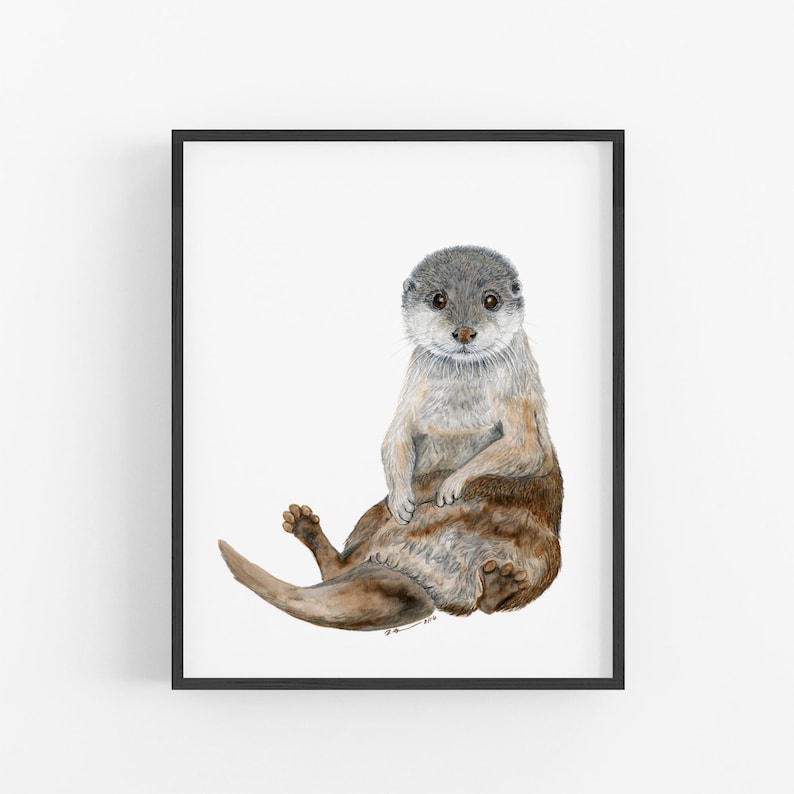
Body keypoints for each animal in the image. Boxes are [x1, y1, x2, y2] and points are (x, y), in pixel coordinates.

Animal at [219, 245, 563, 631]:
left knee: (490, 603)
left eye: (491, 300)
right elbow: (396, 435)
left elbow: (528, 448)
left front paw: (452, 485)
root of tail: (428, 583)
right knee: (339, 567)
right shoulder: (412, 385)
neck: (459, 397)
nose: (463, 331)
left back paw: (498, 584)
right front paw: (402, 499)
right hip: (373, 516)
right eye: (439, 299)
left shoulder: (518, 389)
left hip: (547, 554)